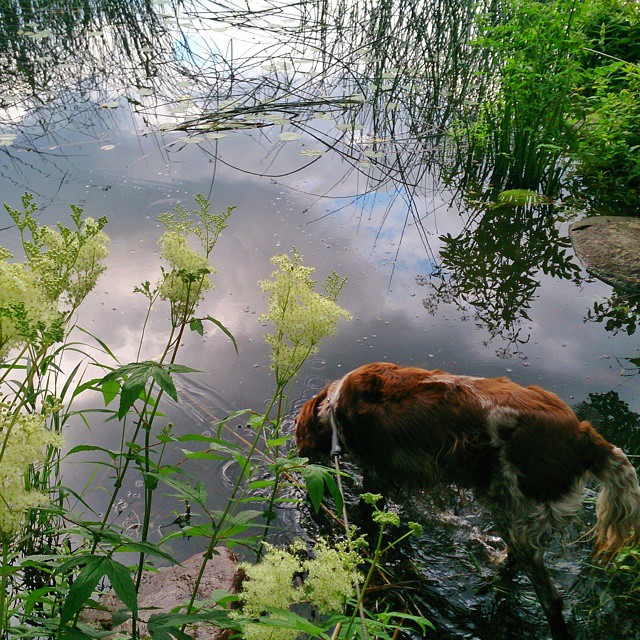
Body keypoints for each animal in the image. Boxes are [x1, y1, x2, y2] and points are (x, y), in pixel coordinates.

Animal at [296, 362, 640, 640]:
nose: (299, 456)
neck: (336, 406)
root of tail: (585, 437)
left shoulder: (378, 473)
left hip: (513, 510)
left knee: (551, 601)